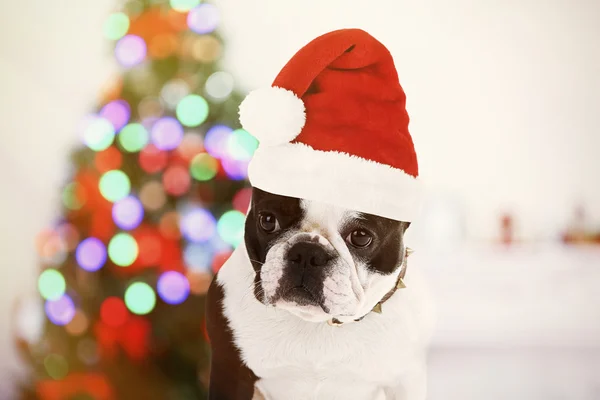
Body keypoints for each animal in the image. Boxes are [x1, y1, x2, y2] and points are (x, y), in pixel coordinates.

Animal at [207, 188, 436, 400]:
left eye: (361, 237)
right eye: (268, 221)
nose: (307, 253)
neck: (315, 321)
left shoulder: (406, 382)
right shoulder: (230, 373)